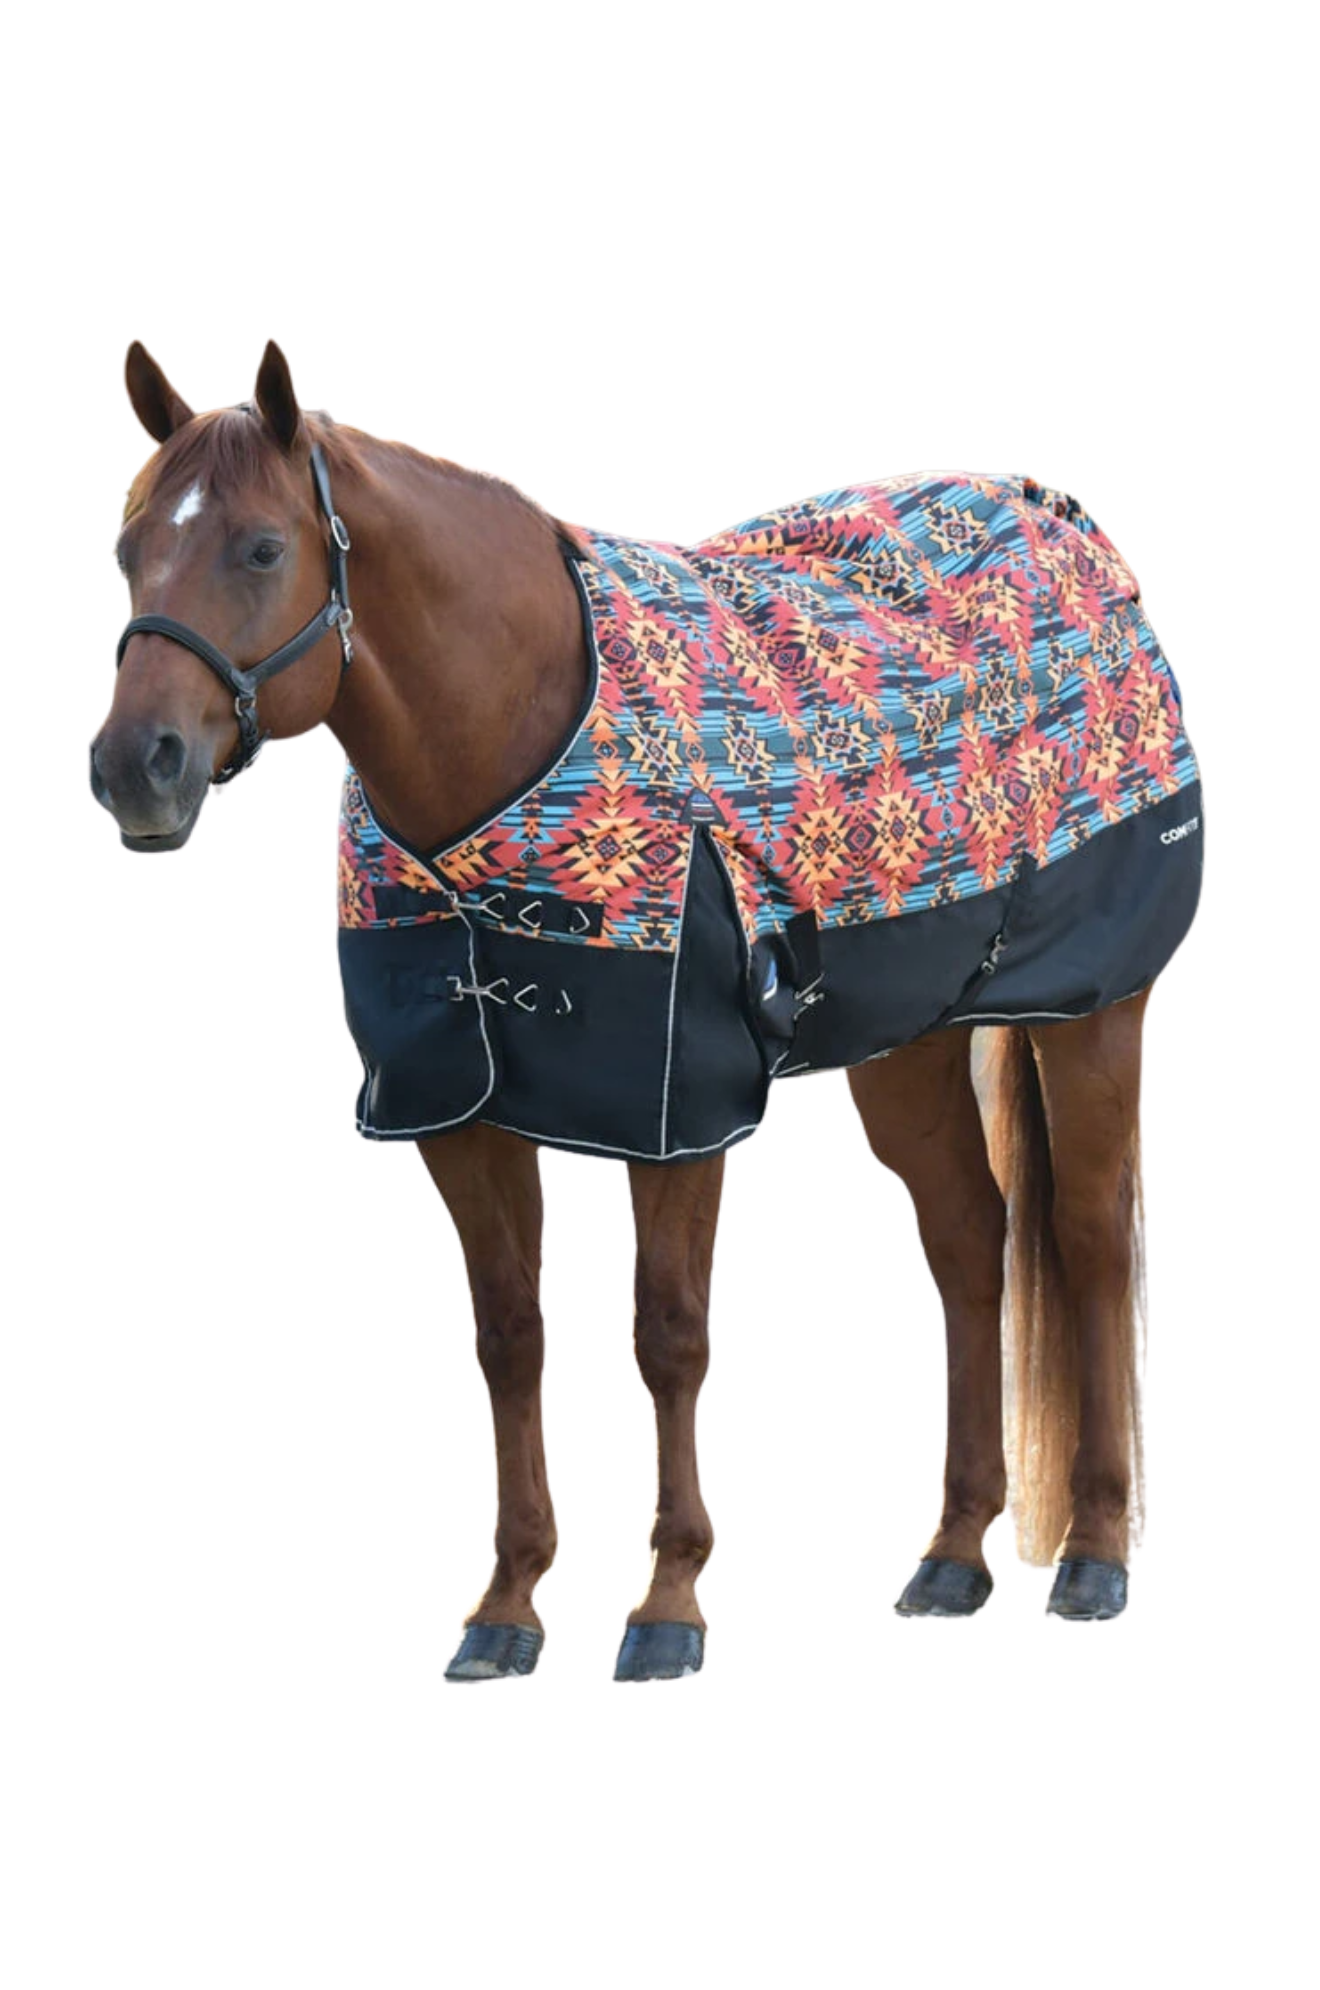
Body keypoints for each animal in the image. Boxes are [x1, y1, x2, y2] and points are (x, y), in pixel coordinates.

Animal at [90, 337, 1204, 1680]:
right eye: (127, 551)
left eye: (260, 549)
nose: (133, 768)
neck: (520, 739)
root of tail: (1061, 517)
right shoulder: (456, 1114)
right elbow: (510, 1337)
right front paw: (506, 1606)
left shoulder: (680, 1108)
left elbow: (668, 1334)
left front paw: (667, 1603)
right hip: (907, 1043)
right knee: (967, 1240)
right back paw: (949, 1556)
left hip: (1093, 1015)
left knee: (1089, 1241)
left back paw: (1092, 1551)